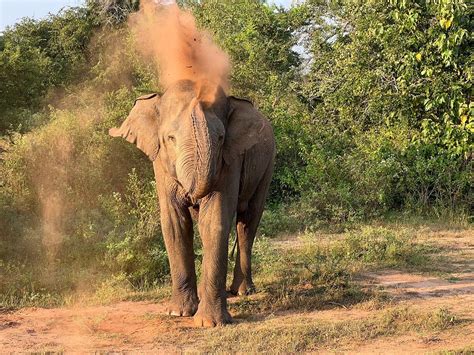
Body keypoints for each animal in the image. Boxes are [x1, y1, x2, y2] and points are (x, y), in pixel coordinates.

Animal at [109, 80, 276, 328]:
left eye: (220, 138)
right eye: (170, 138)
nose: (190, 197)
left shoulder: (230, 160)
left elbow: (214, 220)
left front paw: (209, 323)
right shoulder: (160, 164)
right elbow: (175, 224)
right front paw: (178, 313)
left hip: (267, 165)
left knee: (248, 221)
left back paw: (242, 291)